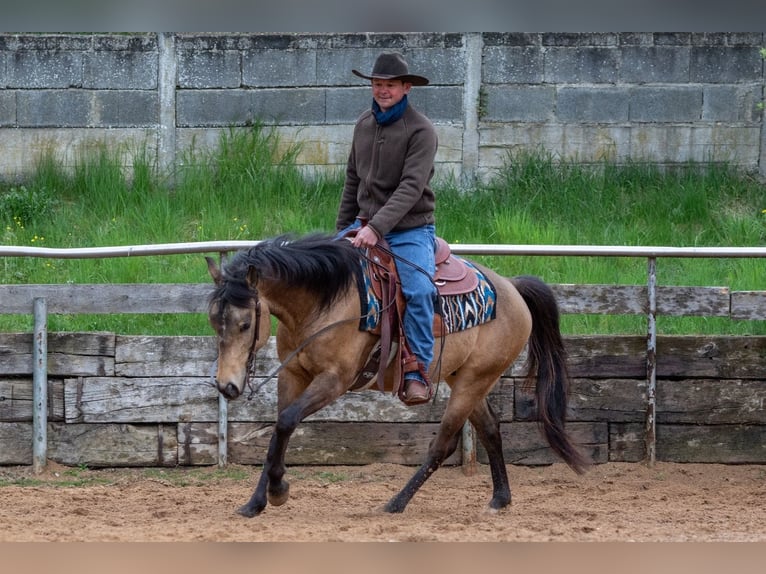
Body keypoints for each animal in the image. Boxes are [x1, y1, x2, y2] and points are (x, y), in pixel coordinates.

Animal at [206, 232, 589, 517]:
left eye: (245, 323)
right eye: (213, 321)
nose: (227, 386)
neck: (325, 301)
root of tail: (510, 286)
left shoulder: (334, 380)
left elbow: (286, 421)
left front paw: (277, 491)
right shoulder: (294, 374)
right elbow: (279, 430)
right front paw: (257, 501)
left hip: (475, 379)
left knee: (443, 444)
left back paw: (396, 503)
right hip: (465, 377)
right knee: (491, 429)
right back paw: (499, 499)